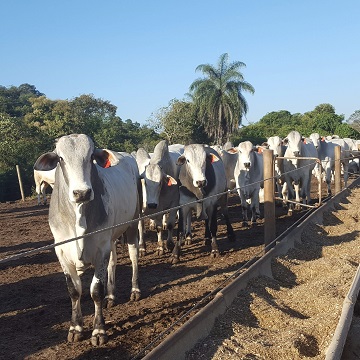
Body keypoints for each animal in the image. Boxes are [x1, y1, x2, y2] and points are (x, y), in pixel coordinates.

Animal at [35, 134, 141, 346]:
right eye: (60, 158)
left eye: (91, 156)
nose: (82, 193)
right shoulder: (61, 251)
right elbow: (74, 290)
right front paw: (75, 327)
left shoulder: (101, 248)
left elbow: (96, 290)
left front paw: (99, 330)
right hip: (112, 237)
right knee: (113, 262)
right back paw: (111, 295)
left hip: (132, 224)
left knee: (133, 256)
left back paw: (135, 290)